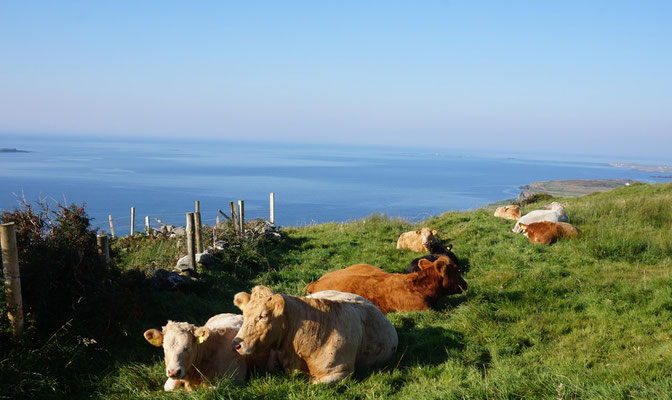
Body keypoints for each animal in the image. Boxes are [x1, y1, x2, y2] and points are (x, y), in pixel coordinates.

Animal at [144, 312, 272, 390]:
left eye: (187, 347)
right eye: (164, 348)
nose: (174, 372)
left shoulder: (235, 378)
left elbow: (212, 389)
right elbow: (168, 387)